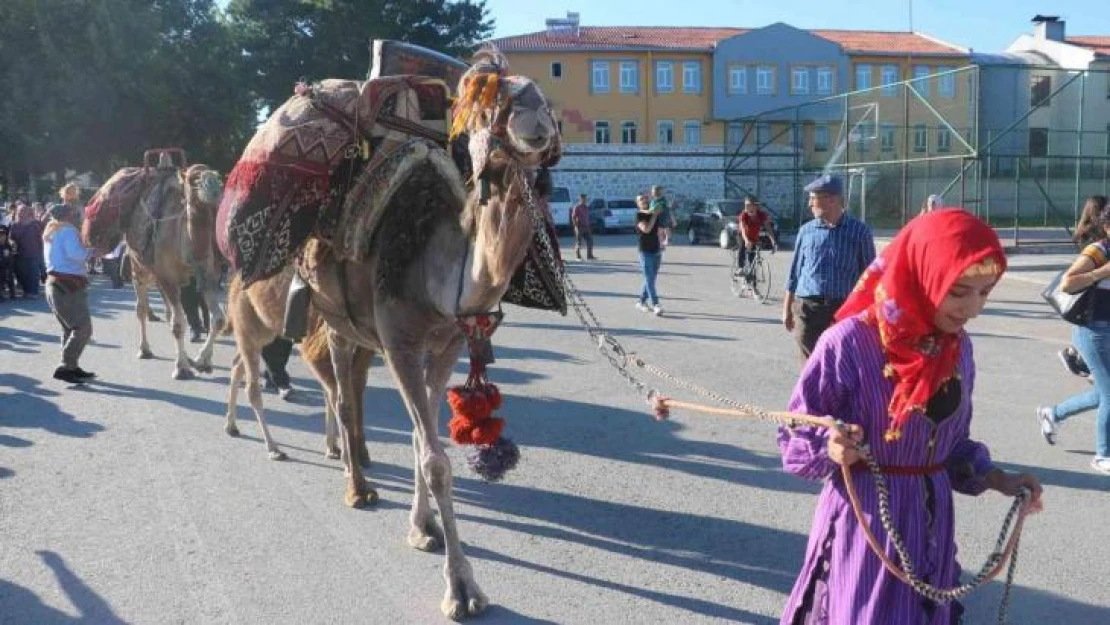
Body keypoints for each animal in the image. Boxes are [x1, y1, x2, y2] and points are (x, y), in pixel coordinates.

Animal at [84, 156, 229, 381]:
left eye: (217, 179)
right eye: (193, 180)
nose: (213, 190)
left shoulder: (208, 275)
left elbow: (218, 319)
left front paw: (202, 362)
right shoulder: (167, 276)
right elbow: (178, 324)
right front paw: (182, 368)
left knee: (169, 312)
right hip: (140, 268)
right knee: (142, 308)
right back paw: (144, 350)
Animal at [219, 50, 559, 621]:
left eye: (545, 96)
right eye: (495, 98)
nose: (538, 125)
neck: (438, 267)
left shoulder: (444, 345)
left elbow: (429, 440)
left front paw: (424, 529)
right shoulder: (400, 341)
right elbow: (435, 458)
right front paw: (461, 588)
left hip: (355, 331)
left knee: (347, 387)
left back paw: (354, 462)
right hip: (332, 316)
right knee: (339, 392)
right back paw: (356, 486)